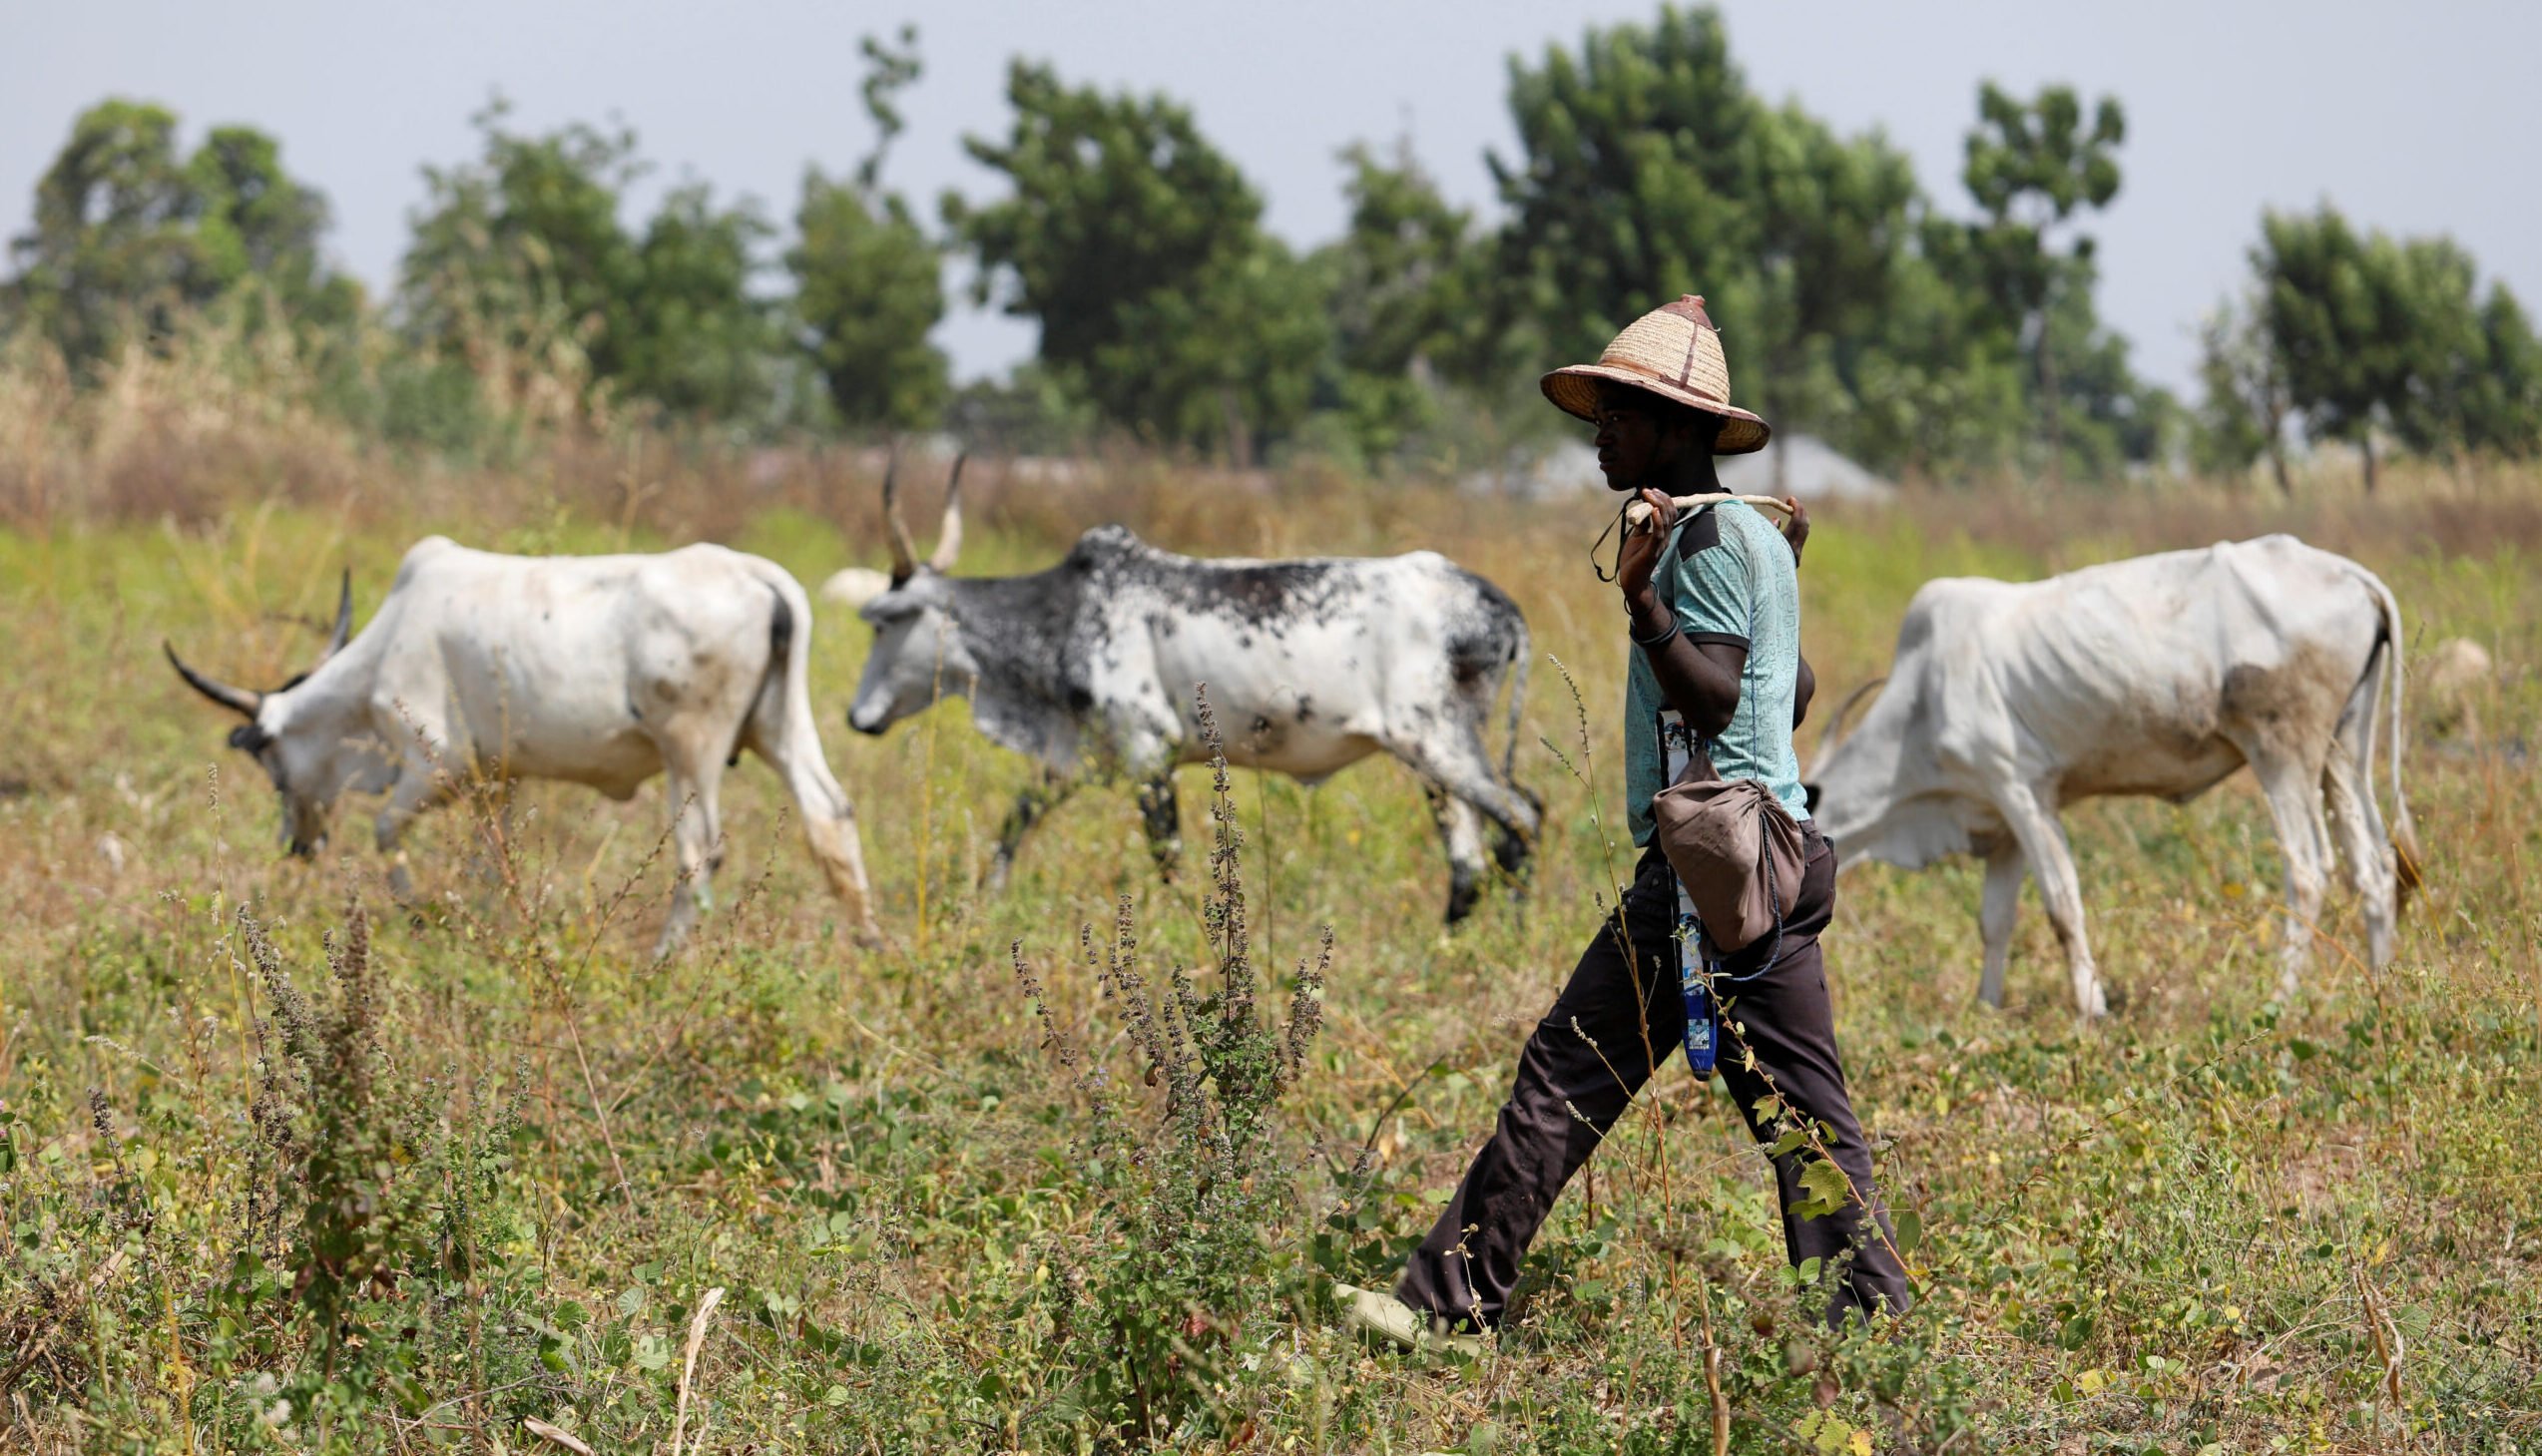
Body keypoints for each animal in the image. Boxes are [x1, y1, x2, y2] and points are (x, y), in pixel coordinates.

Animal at [166, 533, 884, 955]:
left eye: (270, 761)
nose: (297, 843)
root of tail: (759, 577)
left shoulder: (439, 765)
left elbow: (386, 830)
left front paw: (420, 916)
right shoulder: (499, 778)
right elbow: (493, 863)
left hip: (691, 747)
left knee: (699, 851)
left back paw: (663, 959)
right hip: (779, 728)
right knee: (831, 814)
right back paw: (869, 941)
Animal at [843, 464, 1535, 919]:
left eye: (882, 622)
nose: (856, 717)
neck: (1068, 612)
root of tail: (1496, 602)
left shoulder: (1147, 750)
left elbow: (1167, 856)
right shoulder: (1085, 755)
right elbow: (1017, 818)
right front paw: (985, 898)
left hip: (1436, 740)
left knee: (1521, 818)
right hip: (1432, 759)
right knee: (1470, 859)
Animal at [1809, 528, 2419, 1016]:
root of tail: (2347, 573)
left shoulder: (2022, 791)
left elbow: (2063, 908)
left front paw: (2090, 1008)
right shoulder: (2000, 821)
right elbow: (1995, 920)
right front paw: (1986, 1008)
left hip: (2283, 753)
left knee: (2310, 870)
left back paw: (2281, 1001)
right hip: (2343, 751)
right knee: (2374, 867)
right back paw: (2379, 989)